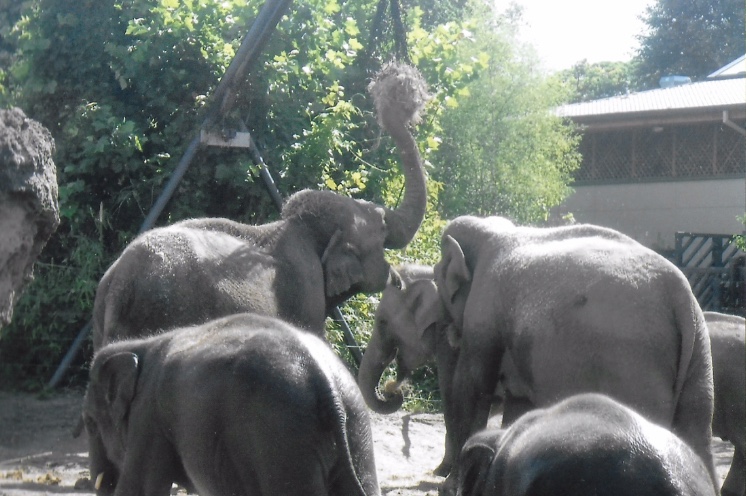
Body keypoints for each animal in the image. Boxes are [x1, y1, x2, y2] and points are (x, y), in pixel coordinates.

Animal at [83, 312, 380, 496]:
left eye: (90, 423)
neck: (140, 345)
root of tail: (322, 376)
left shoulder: (149, 415)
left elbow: (139, 489)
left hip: (282, 441)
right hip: (356, 426)